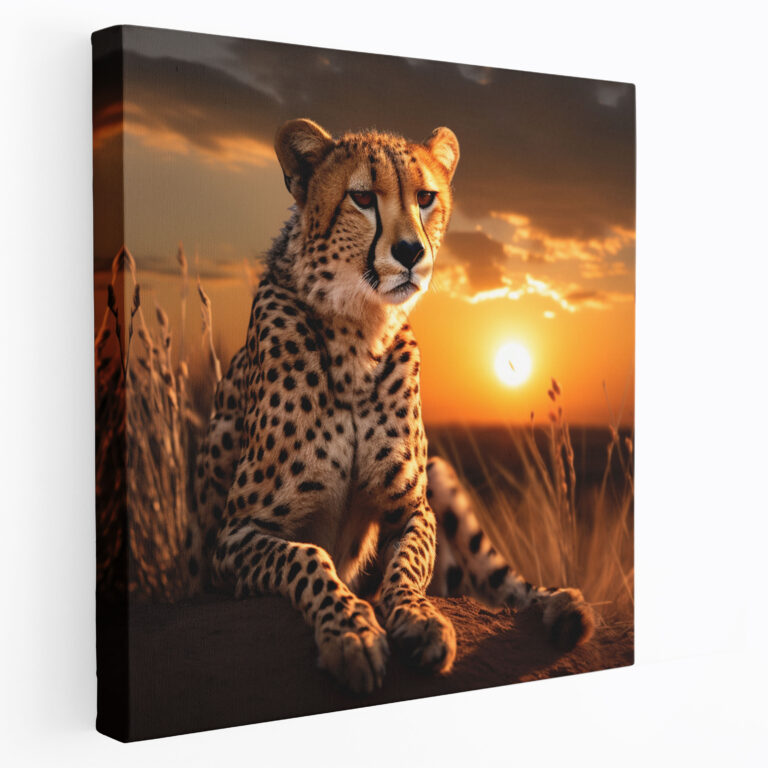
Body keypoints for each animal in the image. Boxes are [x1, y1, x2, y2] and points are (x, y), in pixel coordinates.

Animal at [188, 119, 594, 693]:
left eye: (426, 198)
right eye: (361, 197)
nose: (410, 253)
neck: (360, 331)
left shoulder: (413, 508)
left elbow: (407, 566)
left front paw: (420, 618)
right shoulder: (233, 538)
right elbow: (310, 558)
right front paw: (351, 633)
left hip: (442, 474)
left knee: (502, 585)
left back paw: (560, 605)